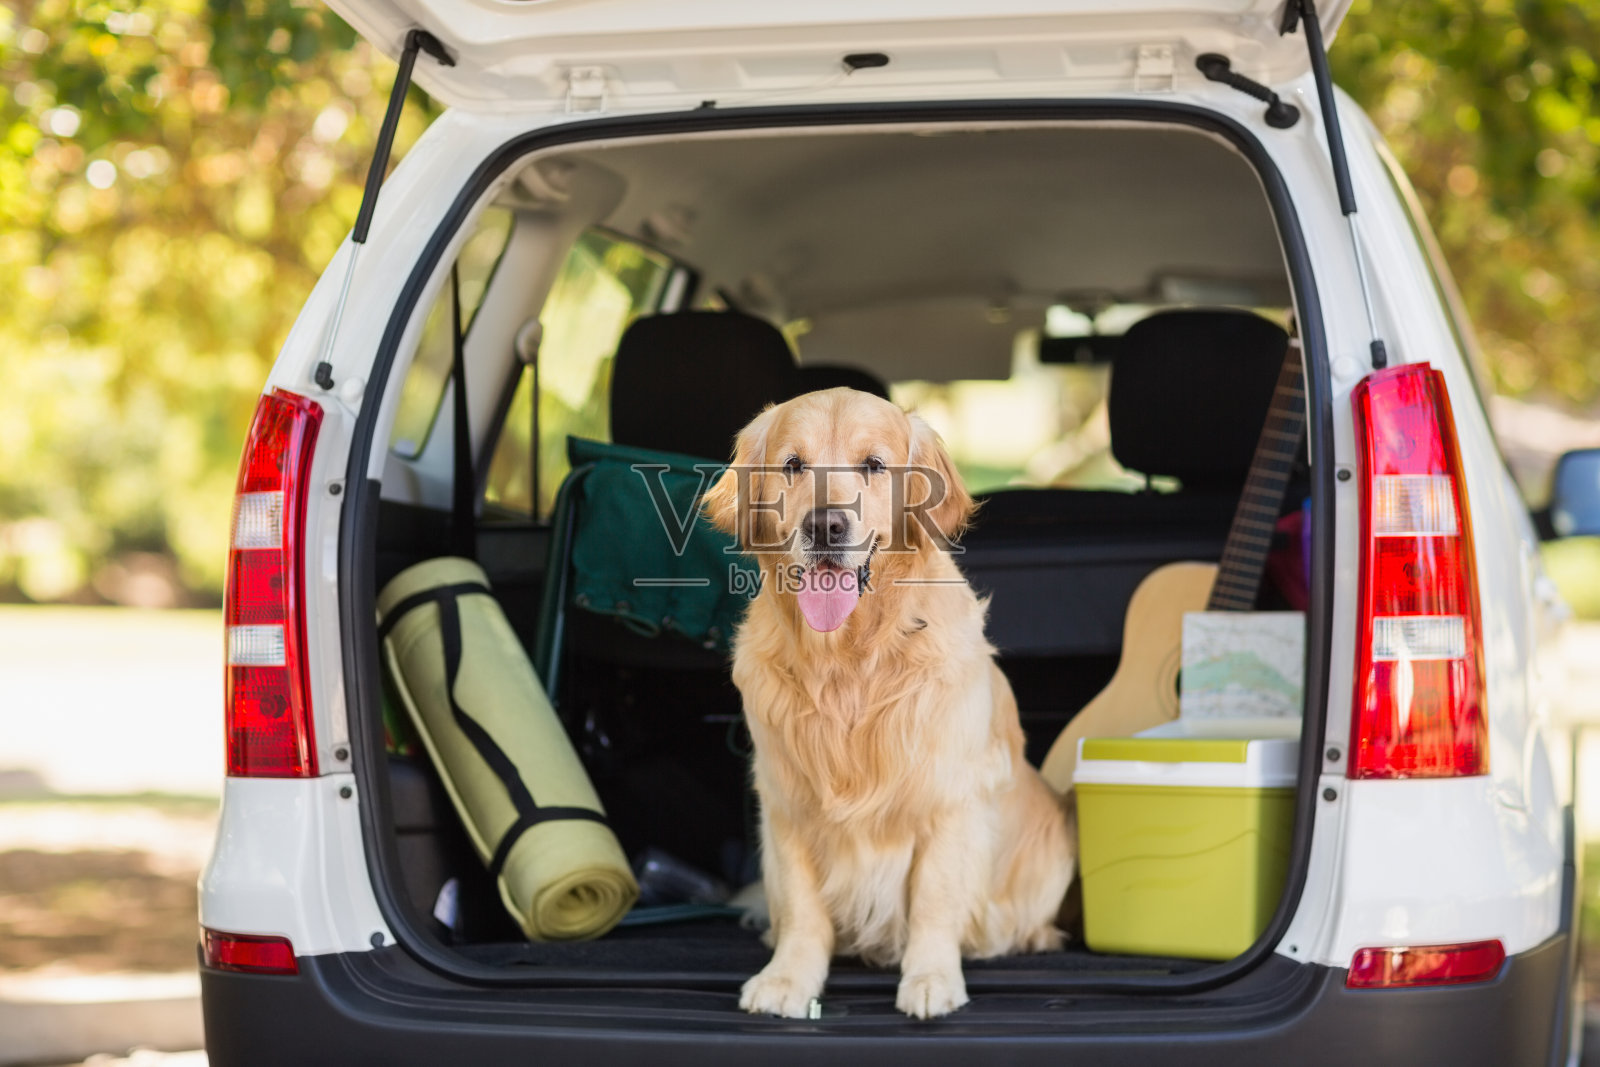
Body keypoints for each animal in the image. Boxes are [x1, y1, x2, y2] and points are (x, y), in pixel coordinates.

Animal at [704, 383, 1068, 1017]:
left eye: (873, 465)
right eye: (792, 465)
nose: (825, 526)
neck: (849, 661)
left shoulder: (950, 799)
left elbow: (935, 899)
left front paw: (931, 978)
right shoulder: (785, 800)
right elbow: (800, 906)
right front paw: (788, 979)